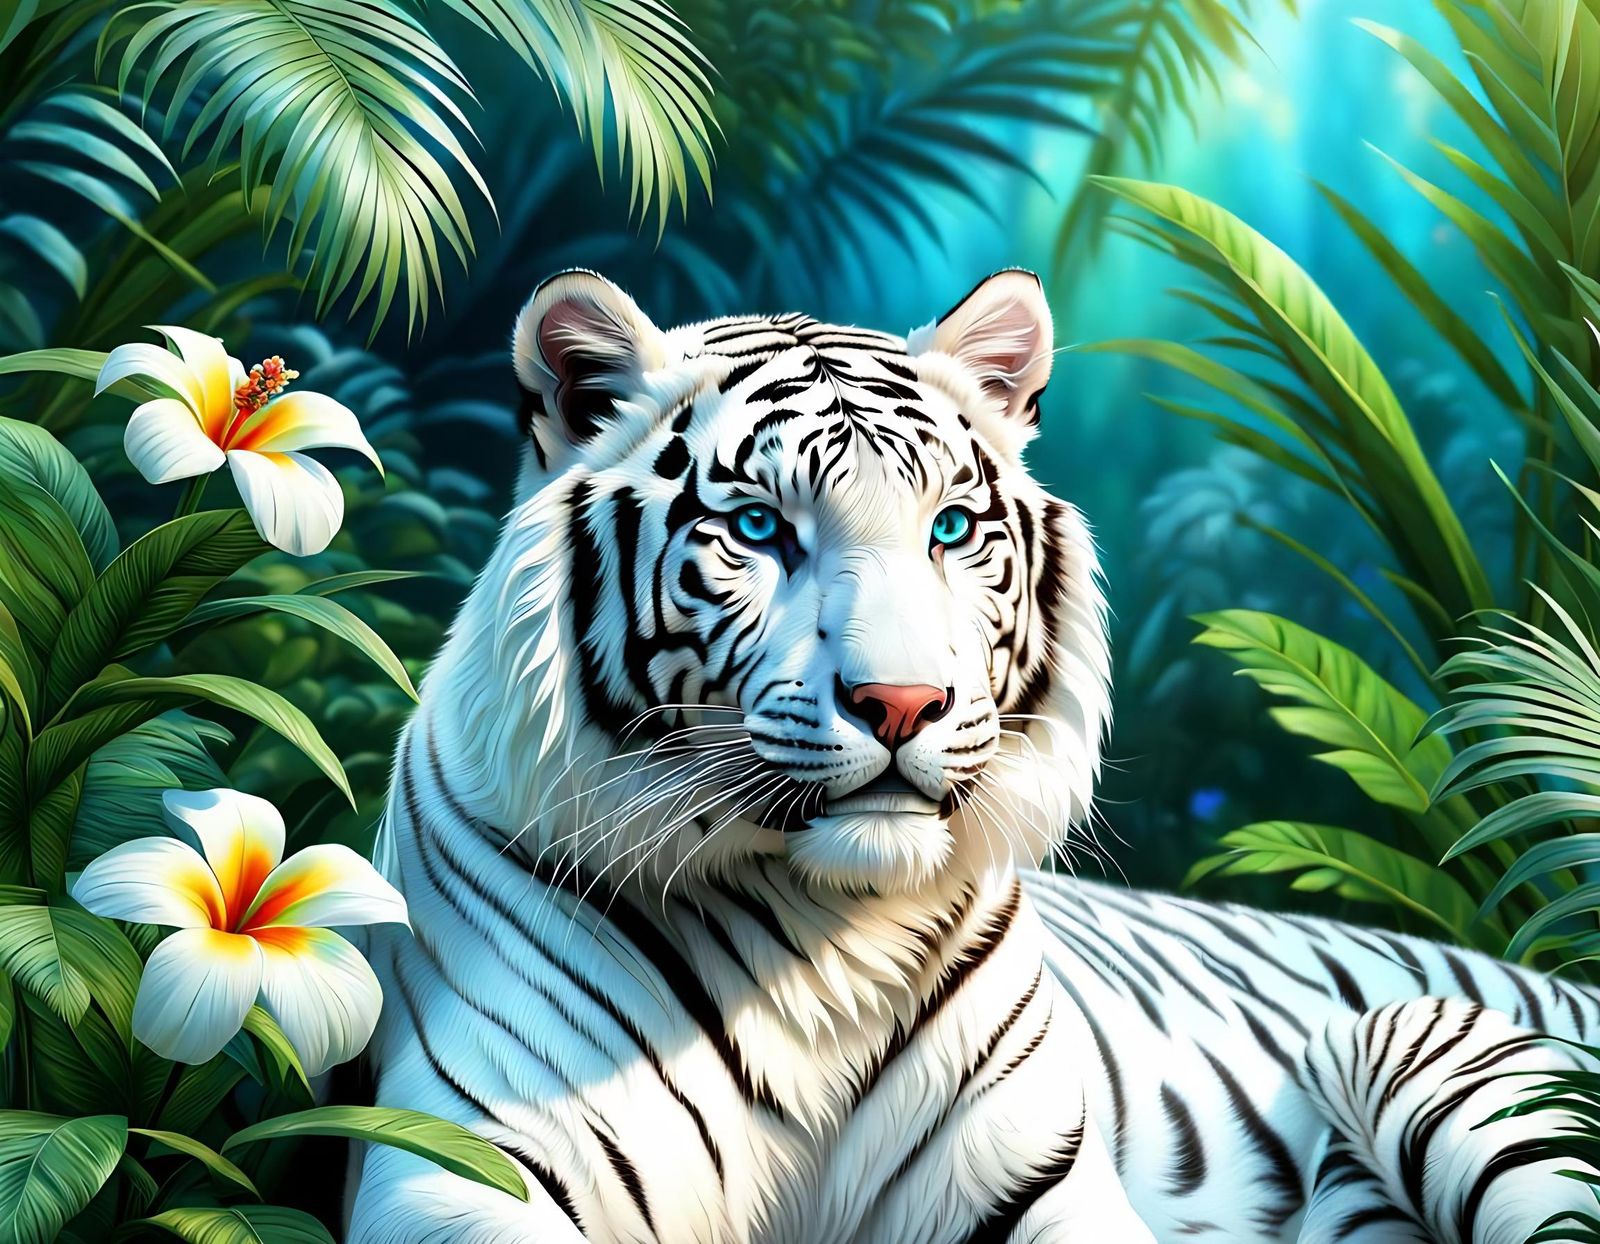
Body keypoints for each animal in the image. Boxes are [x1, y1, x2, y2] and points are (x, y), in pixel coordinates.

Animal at [348, 269, 1600, 1243]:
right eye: (756, 529)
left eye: (950, 528)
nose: (901, 701)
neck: (818, 941)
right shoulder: (465, 1163)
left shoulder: (1040, 1179)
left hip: (1411, 1037)